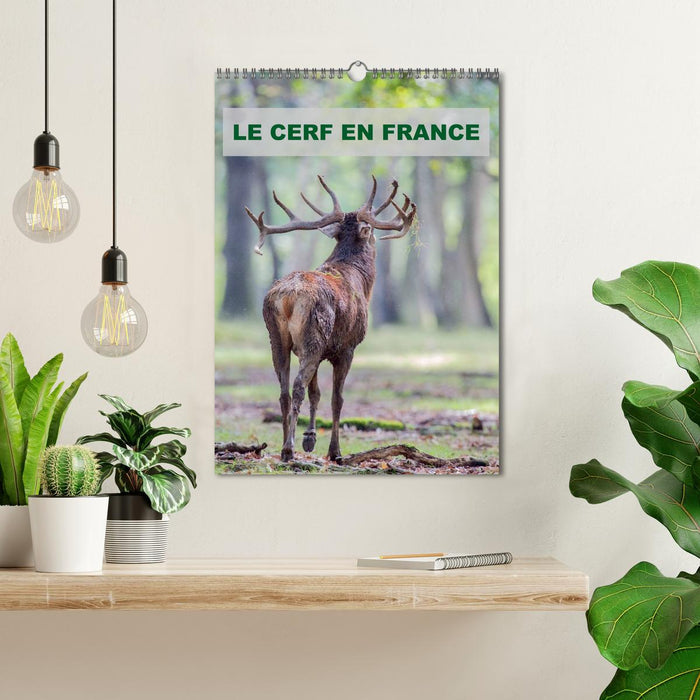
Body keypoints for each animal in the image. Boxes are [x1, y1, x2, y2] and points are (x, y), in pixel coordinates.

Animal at [245, 175, 416, 462]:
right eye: (371, 230)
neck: (361, 281)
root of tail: (288, 297)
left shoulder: (319, 348)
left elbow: (316, 393)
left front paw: (310, 438)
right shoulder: (346, 347)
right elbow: (337, 399)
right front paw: (334, 451)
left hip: (278, 338)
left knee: (283, 391)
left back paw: (284, 446)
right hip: (313, 336)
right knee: (297, 387)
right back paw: (288, 448)